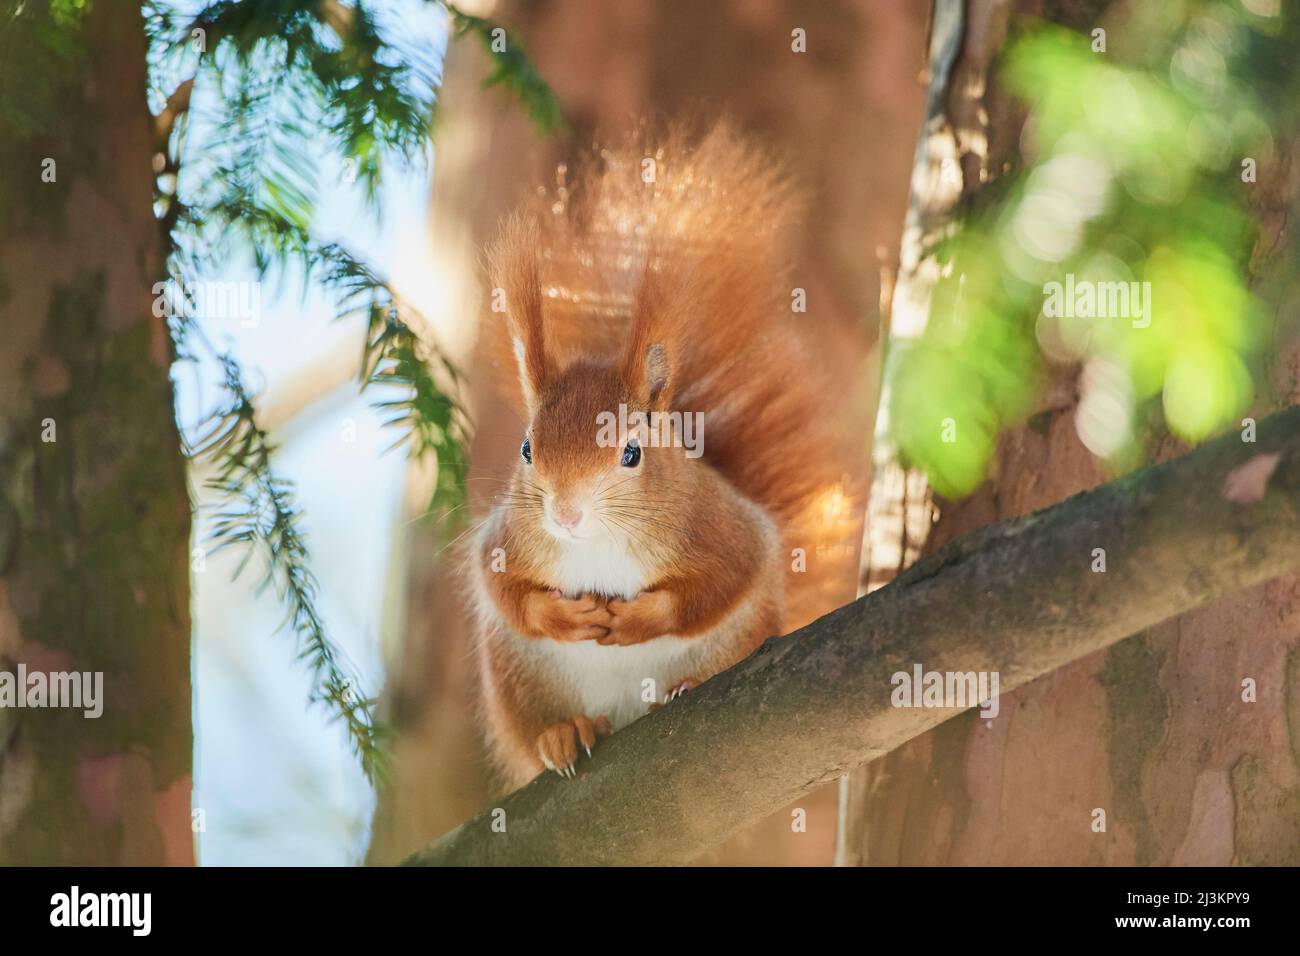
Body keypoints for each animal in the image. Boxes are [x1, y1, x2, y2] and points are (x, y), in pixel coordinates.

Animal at [467, 123, 852, 790]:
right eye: (526, 448)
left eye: (631, 453)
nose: (565, 515)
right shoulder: (507, 539)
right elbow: (506, 592)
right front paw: (563, 618)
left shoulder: (719, 527)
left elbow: (721, 581)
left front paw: (638, 619)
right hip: (519, 680)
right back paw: (564, 733)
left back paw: (683, 687)